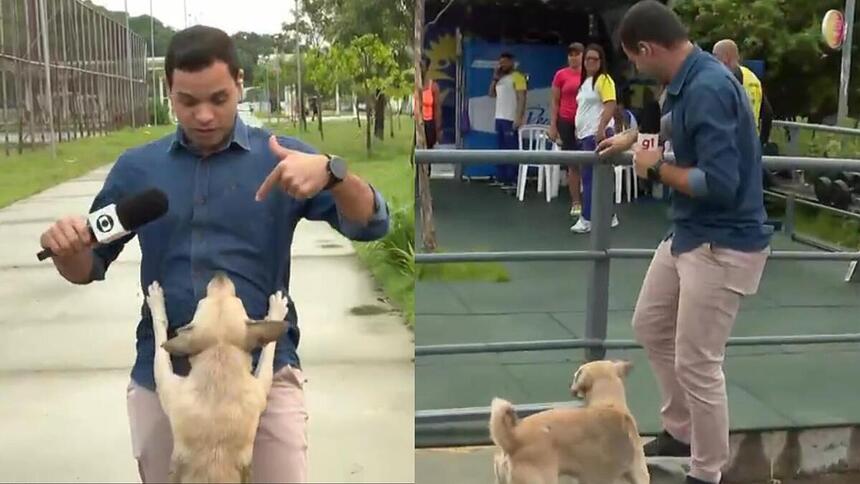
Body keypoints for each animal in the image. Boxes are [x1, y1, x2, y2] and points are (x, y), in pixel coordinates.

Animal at [143, 272, 288, 484]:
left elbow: (159, 332)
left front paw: (156, 303)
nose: (220, 274)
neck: (220, 352)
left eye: (201, 302)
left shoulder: (165, 379)